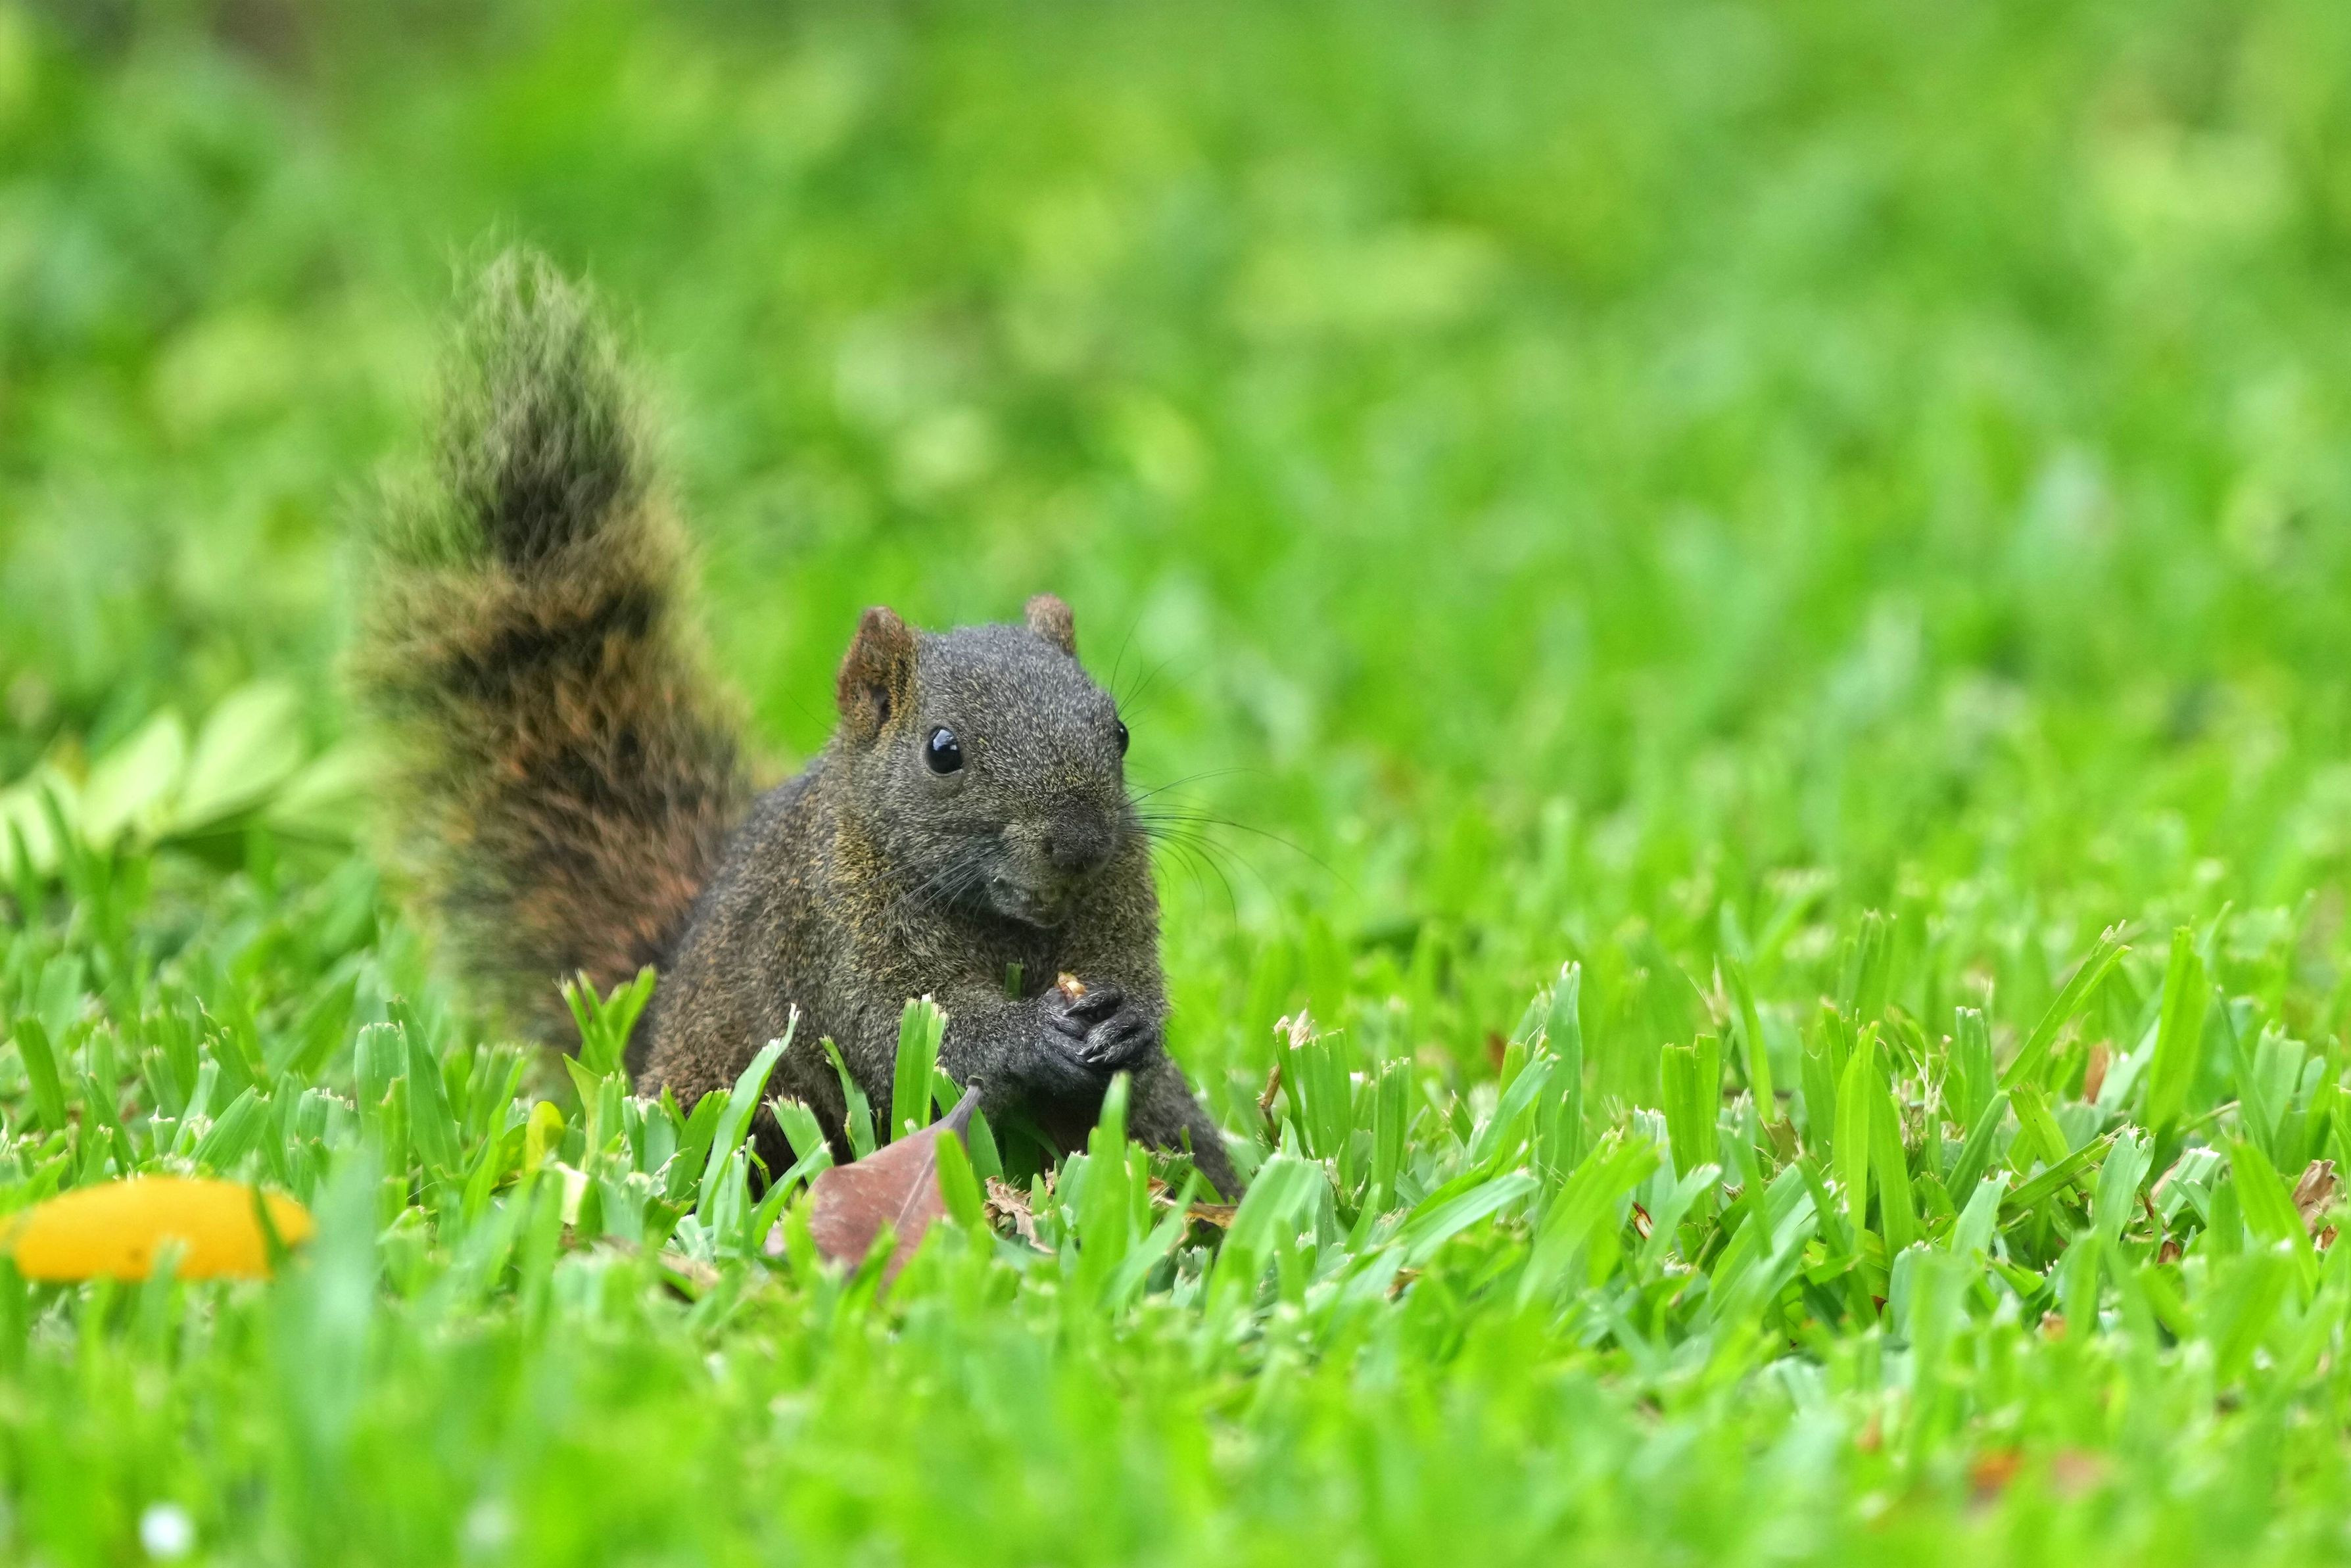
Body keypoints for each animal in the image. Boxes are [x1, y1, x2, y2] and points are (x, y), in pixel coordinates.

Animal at [357, 251, 1239, 1197]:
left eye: (1118, 735)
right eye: (944, 752)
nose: (1077, 844)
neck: (1003, 918)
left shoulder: (1120, 892)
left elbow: (1132, 980)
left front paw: (1131, 1022)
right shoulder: (835, 929)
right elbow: (915, 1030)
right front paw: (1030, 1034)